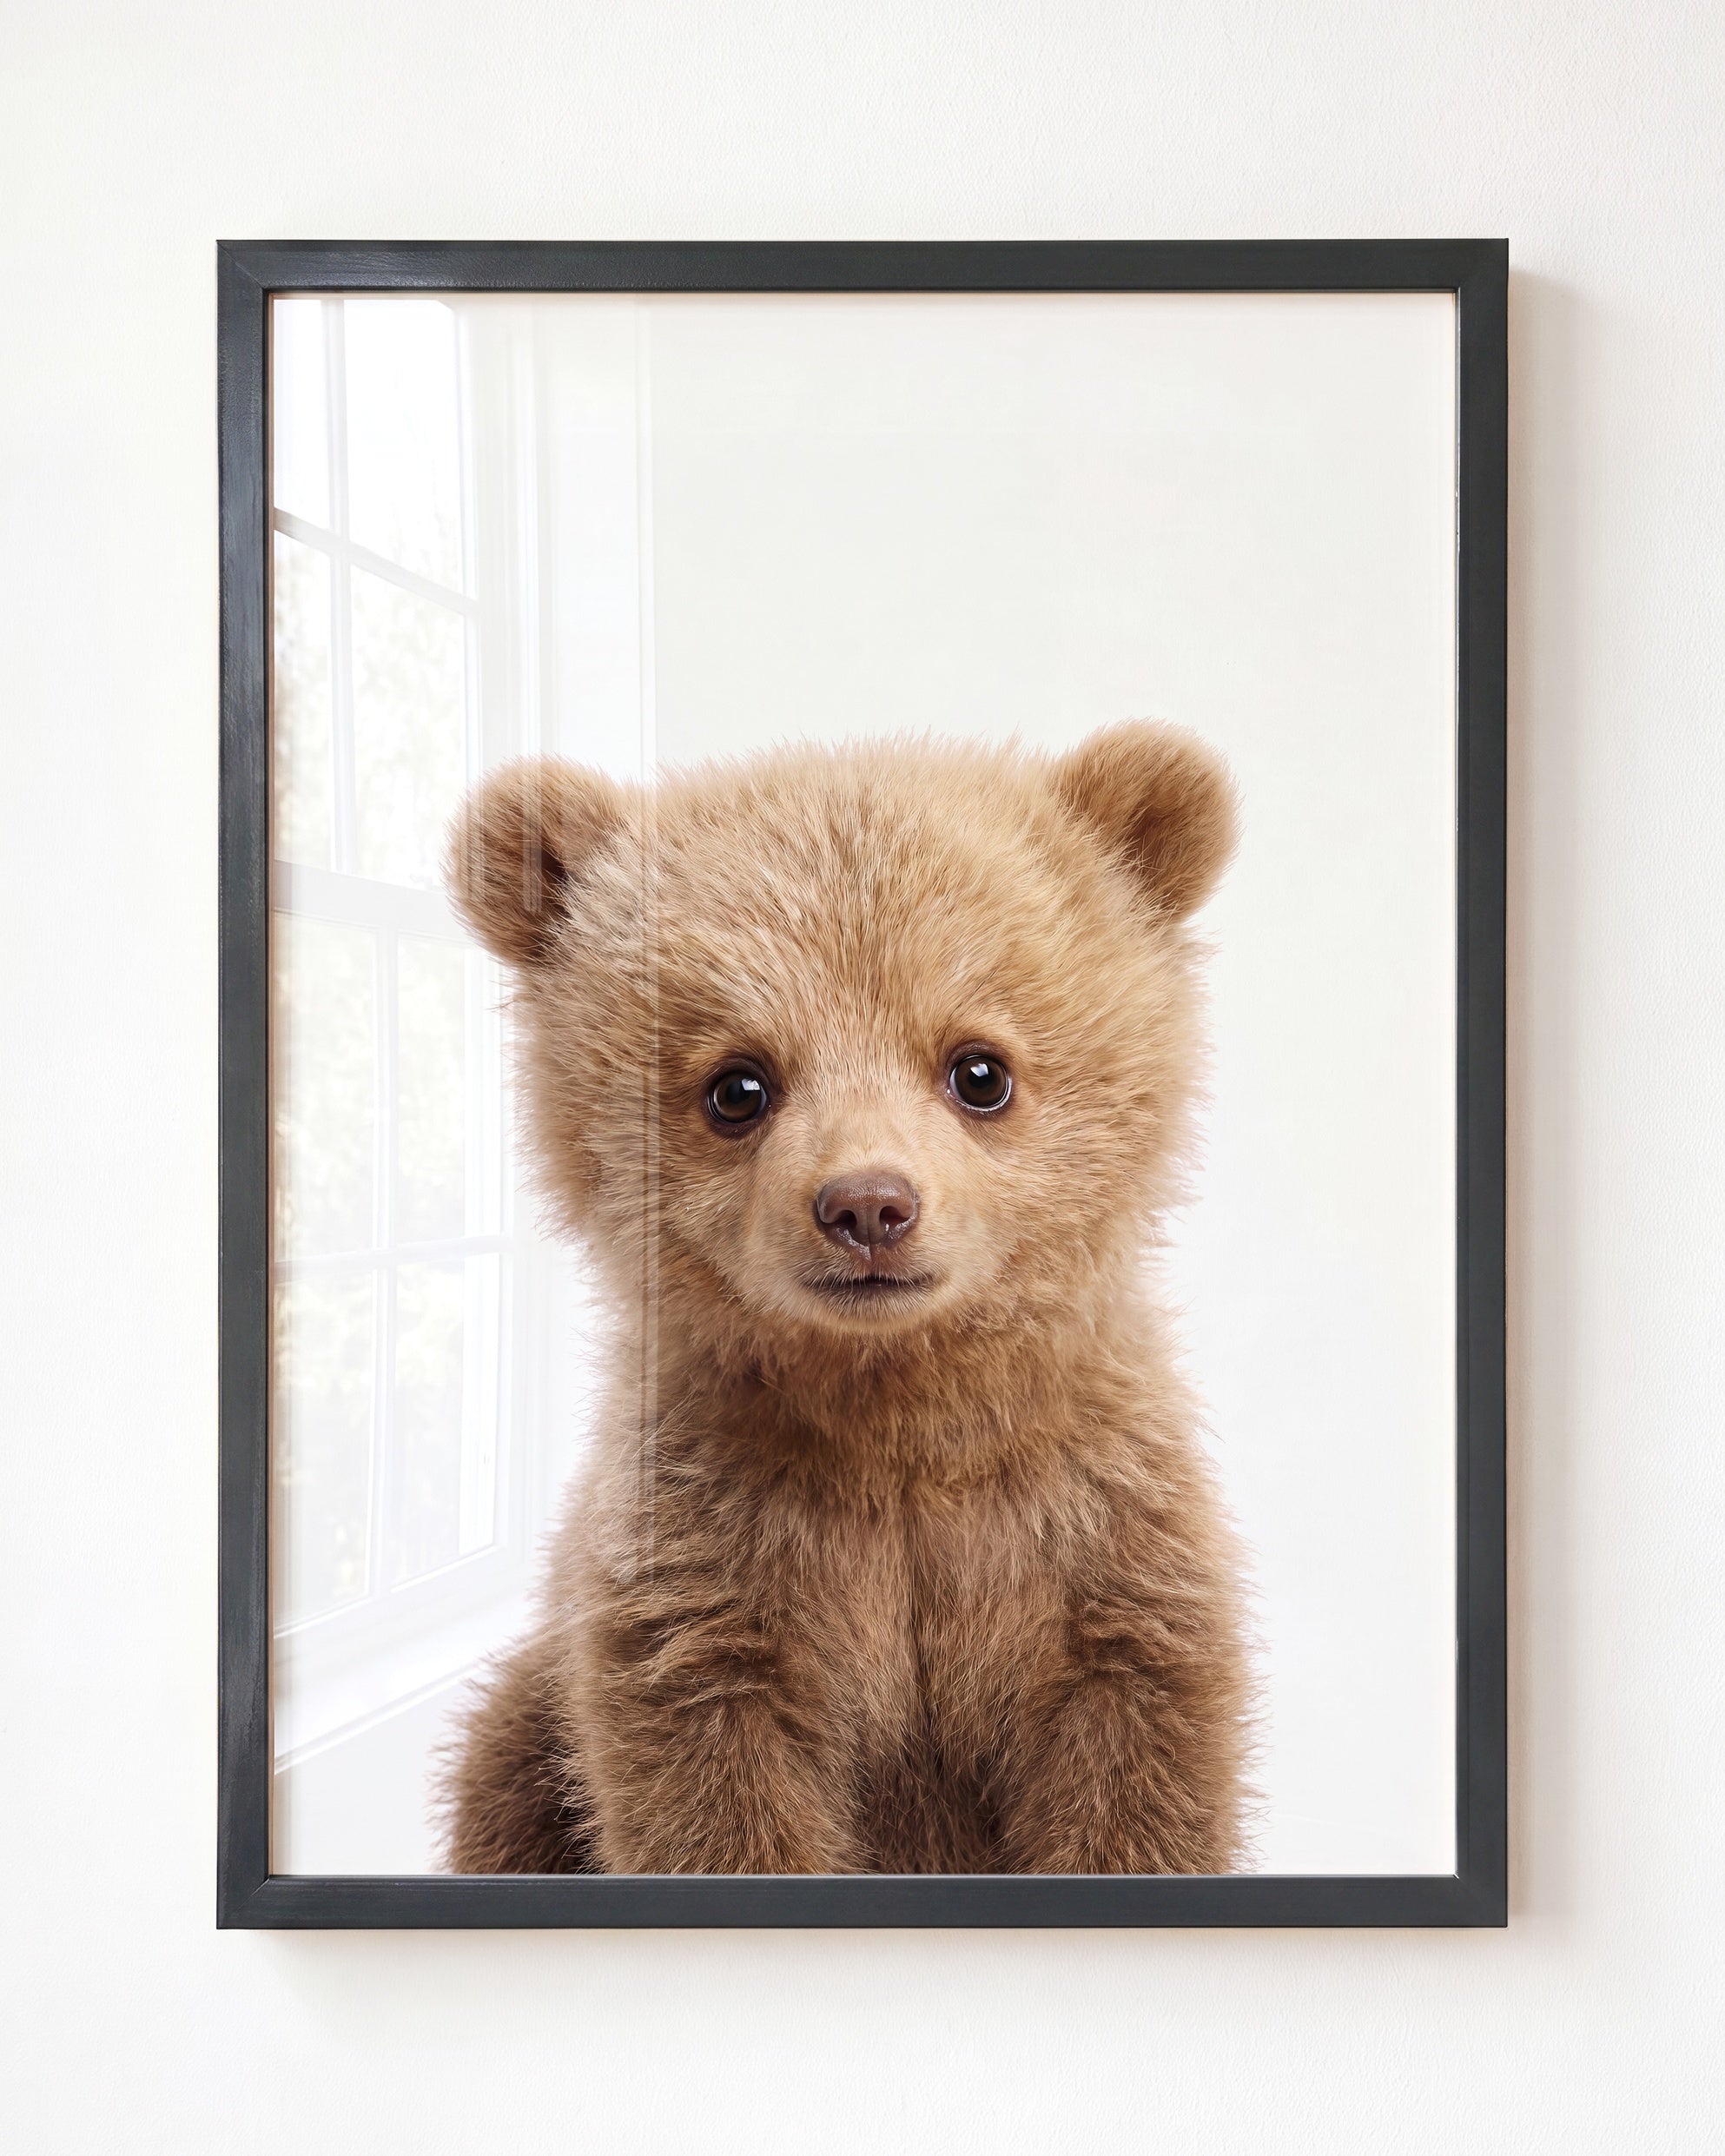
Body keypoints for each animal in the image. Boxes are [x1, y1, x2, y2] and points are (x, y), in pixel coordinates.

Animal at [436, 722, 1254, 1875]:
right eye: (737, 1085)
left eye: (979, 1069)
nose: (868, 1204)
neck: (895, 1413)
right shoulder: (710, 1574)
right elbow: (713, 1796)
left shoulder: (1094, 1547)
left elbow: (1136, 1778)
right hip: (528, 1726)